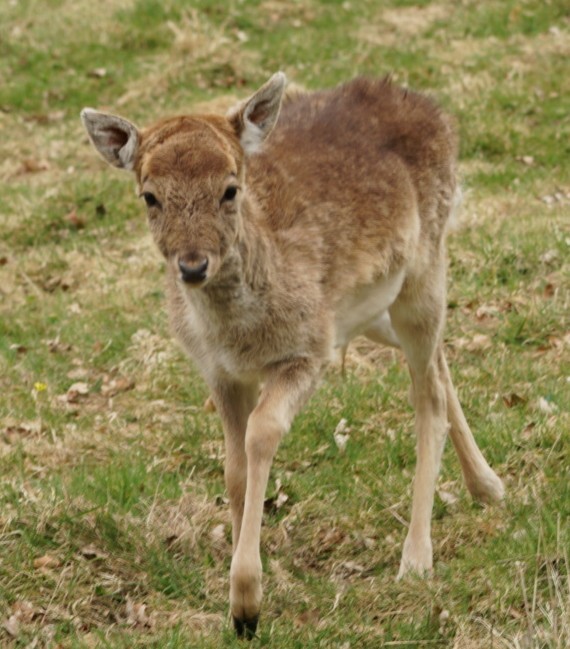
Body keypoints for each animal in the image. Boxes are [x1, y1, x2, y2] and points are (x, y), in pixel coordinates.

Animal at [81, 72, 505, 638]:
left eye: (230, 188)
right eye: (150, 196)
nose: (192, 266)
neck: (240, 335)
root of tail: (423, 102)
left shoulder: (309, 349)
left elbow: (262, 434)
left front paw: (246, 604)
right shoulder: (219, 372)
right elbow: (233, 469)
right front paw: (255, 579)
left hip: (425, 269)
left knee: (428, 399)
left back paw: (416, 558)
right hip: (370, 312)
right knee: (437, 363)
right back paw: (488, 485)